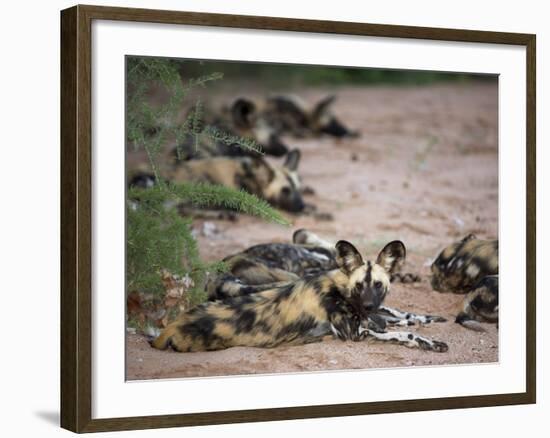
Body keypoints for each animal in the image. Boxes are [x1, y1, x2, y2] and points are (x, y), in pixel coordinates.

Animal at [151, 238, 448, 350]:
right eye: (358, 286)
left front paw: (425, 320)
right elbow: (402, 332)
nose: (368, 305)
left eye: (378, 285)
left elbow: (398, 315)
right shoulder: (353, 332)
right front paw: (426, 341)